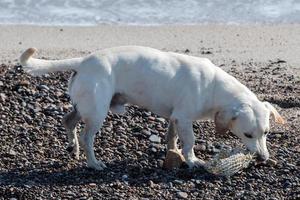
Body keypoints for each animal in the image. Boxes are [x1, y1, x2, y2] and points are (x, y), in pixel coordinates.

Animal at [19, 46, 284, 170]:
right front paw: (192, 160)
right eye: (247, 134)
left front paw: (173, 154)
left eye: (267, 133)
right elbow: (190, 142)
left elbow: (171, 138)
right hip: (97, 112)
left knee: (68, 120)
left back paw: (72, 147)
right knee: (87, 138)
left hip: (85, 107)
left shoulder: (175, 118)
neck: (214, 87)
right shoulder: (184, 118)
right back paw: (93, 162)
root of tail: (84, 61)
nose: (263, 158)